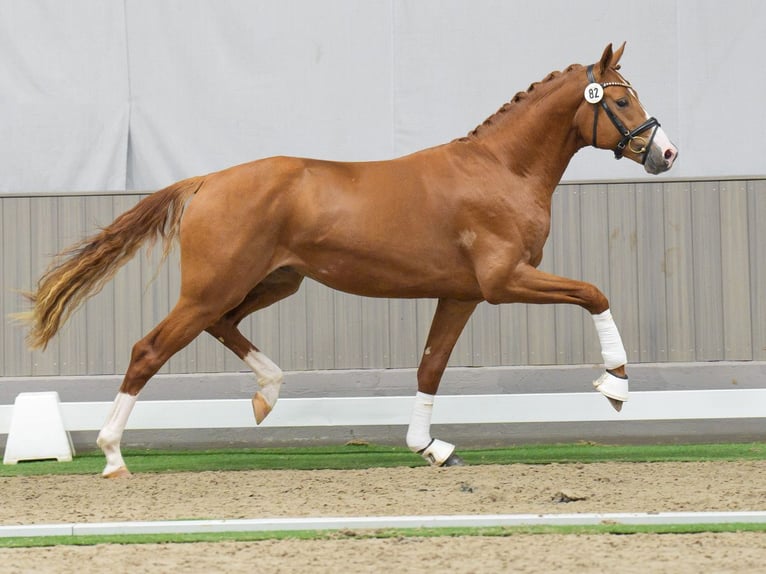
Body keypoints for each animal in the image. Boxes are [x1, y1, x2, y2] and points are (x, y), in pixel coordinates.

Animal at [19, 44, 680, 476]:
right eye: (621, 98)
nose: (666, 152)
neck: (500, 170)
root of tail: (206, 181)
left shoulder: (462, 292)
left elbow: (431, 366)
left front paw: (430, 448)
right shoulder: (503, 281)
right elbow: (594, 292)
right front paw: (615, 386)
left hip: (273, 283)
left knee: (220, 326)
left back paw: (267, 393)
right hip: (215, 286)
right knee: (149, 349)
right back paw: (112, 454)